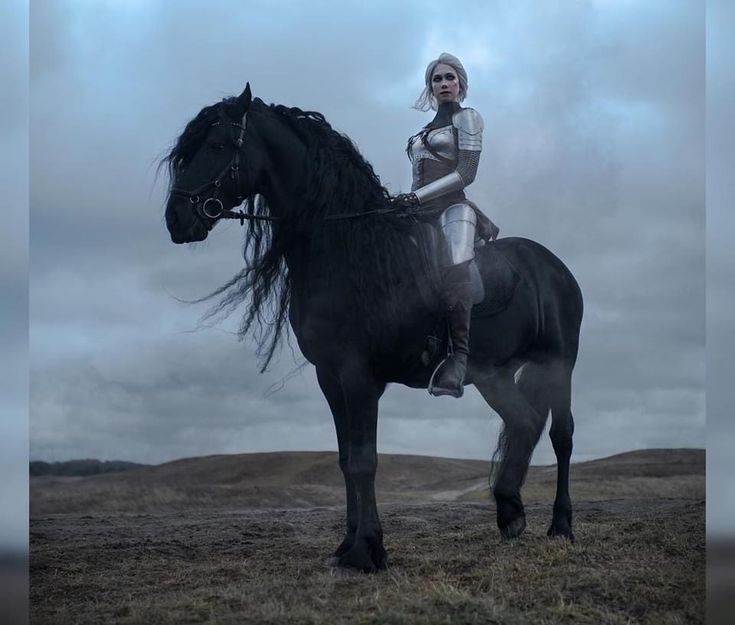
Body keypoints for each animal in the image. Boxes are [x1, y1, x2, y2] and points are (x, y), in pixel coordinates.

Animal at [164, 85, 584, 572]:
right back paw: (510, 514)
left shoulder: (358, 374)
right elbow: (346, 460)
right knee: (524, 422)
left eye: (216, 146)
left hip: (559, 363)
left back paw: (561, 525)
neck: (350, 250)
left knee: (560, 436)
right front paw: (347, 546)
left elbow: (365, 461)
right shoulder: (330, 377)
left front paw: (367, 551)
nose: (176, 218)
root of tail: (554, 266)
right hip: (491, 375)